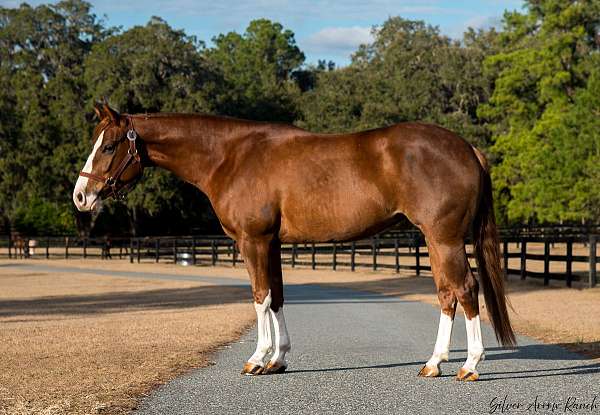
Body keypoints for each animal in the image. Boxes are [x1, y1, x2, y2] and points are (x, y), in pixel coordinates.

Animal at [74, 102, 516, 382]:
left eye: (109, 146)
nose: (80, 196)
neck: (230, 156)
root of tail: (467, 148)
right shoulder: (270, 243)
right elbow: (278, 296)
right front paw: (278, 359)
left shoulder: (252, 241)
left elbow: (259, 296)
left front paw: (256, 360)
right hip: (437, 242)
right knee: (446, 294)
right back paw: (434, 363)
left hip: (445, 239)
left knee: (465, 289)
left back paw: (469, 366)